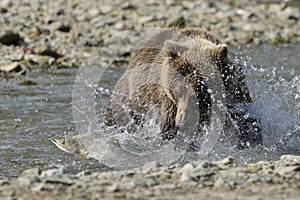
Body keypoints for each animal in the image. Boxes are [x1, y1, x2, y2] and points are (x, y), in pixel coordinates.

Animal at [103, 28, 262, 150]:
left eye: (202, 91)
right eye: (177, 90)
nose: (182, 121)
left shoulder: (235, 92)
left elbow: (245, 119)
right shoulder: (166, 100)